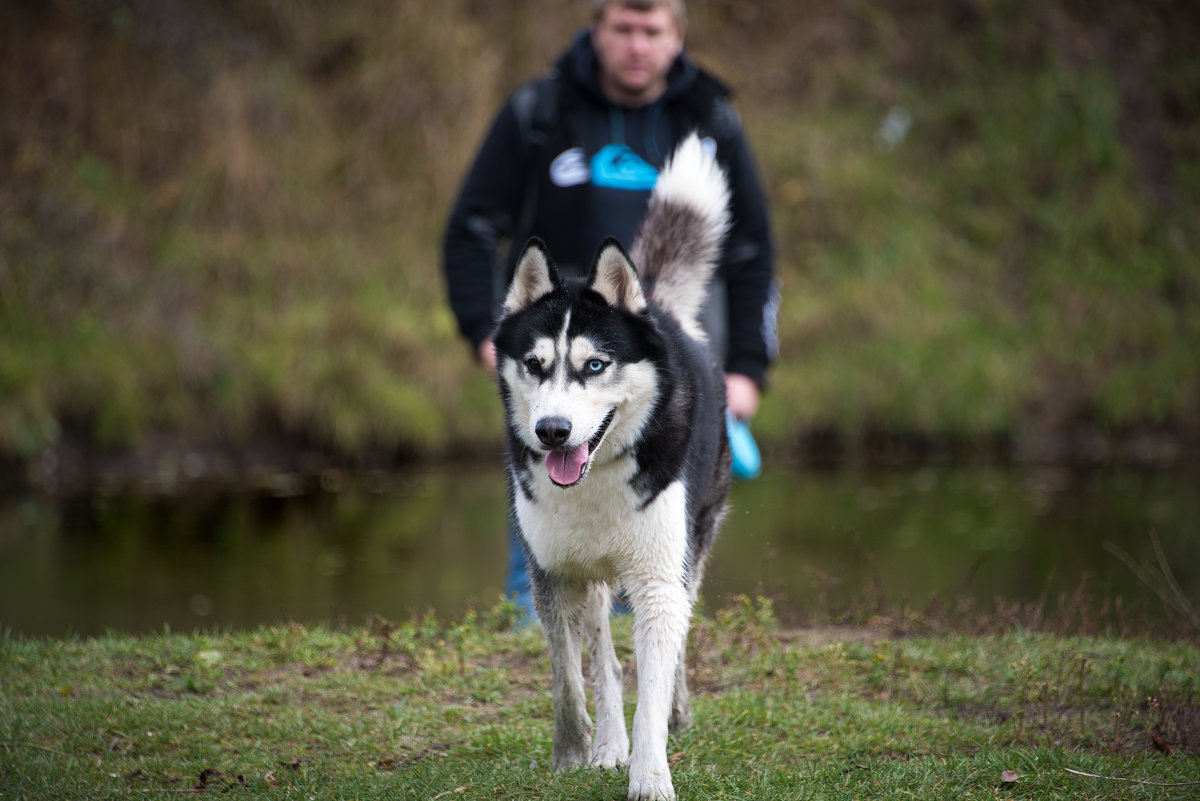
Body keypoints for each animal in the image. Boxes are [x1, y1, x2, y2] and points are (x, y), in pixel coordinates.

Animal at [489, 136, 729, 801]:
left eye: (595, 365)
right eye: (535, 364)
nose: (552, 431)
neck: (594, 480)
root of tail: (660, 309)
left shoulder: (657, 581)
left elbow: (652, 682)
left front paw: (650, 776)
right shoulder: (549, 573)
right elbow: (569, 675)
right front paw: (575, 750)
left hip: (694, 546)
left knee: (671, 649)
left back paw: (674, 714)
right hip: (593, 577)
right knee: (604, 656)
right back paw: (606, 743)